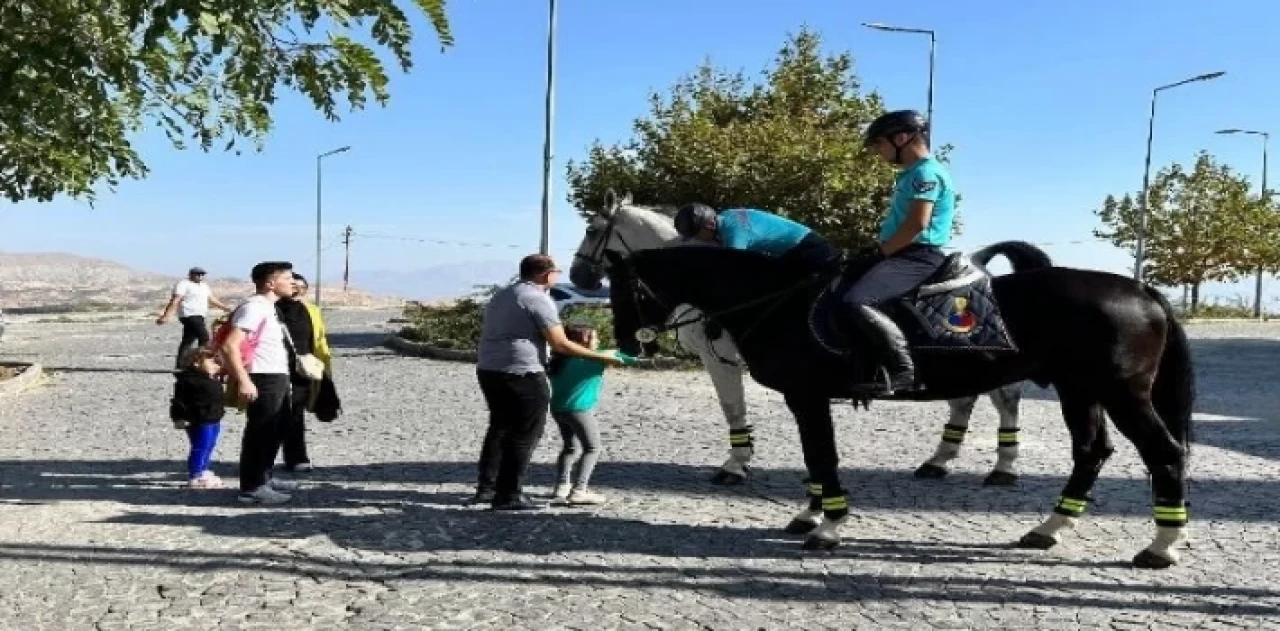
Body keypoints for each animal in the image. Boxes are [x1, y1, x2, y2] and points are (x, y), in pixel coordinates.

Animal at [568, 193, 1018, 486]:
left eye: (591, 229)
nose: (577, 276)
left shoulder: (720, 359)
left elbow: (732, 408)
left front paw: (735, 464)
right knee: (968, 399)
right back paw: (941, 461)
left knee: (1004, 399)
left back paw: (1003, 468)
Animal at [604, 241, 1192, 570]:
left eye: (623, 290)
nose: (629, 343)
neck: (779, 302)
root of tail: (1142, 291)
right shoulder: (804, 398)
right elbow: (815, 458)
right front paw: (811, 513)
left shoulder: (808, 395)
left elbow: (823, 457)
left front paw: (828, 528)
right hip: (1080, 390)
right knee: (1091, 452)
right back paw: (1048, 530)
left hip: (1121, 393)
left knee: (1164, 453)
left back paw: (1161, 546)